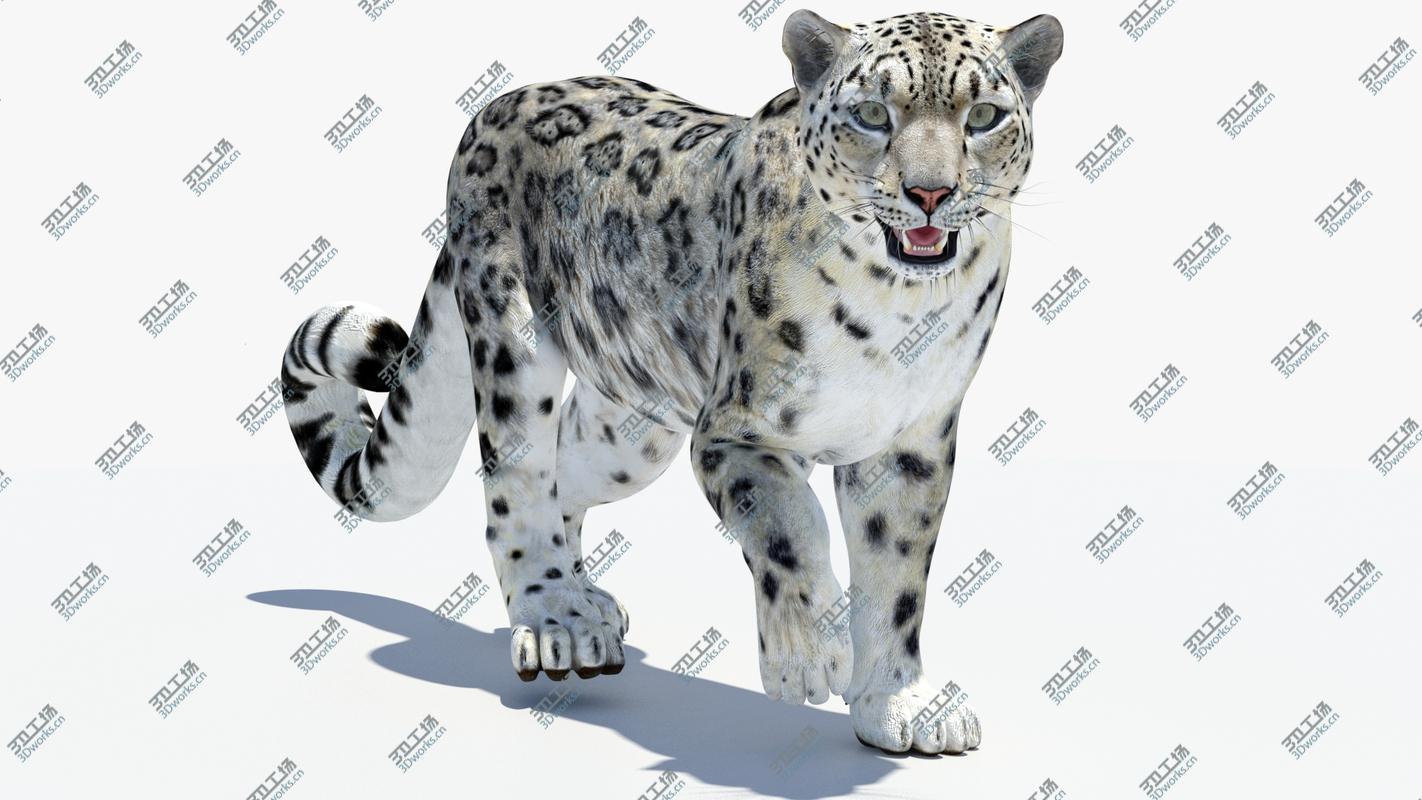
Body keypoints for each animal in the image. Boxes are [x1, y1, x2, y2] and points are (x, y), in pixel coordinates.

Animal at [279, 9, 1063, 754]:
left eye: (982, 116)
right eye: (873, 112)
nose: (930, 193)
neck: (898, 308)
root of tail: (497, 105)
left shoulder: (912, 441)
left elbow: (898, 577)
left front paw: (899, 703)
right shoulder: (737, 428)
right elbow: (787, 523)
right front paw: (808, 654)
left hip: (629, 433)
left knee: (565, 469)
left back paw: (588, 595)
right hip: (513, 341)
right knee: (516, 485)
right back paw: (558, 617)